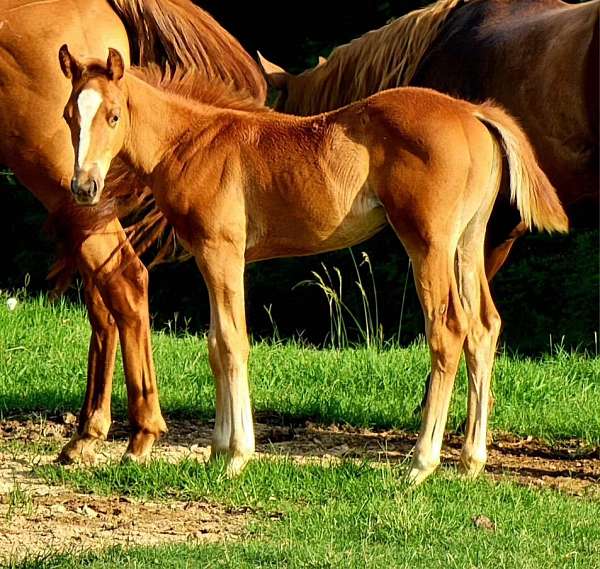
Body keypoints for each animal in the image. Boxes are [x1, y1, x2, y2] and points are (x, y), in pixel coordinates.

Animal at [0, 0, 264, 462]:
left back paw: (138, 431)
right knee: (102, 294)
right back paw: (90, 430)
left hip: (64, 180)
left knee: (124, 279)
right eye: (70, 115)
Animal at [57, 46, 568, 484]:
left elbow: (233, 343)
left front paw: (237, 456)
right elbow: (215, 344)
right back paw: (470, 461)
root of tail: (472, 112)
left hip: (429, 243)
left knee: (449, 329)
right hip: (468, 241)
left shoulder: (224, 252)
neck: (192, 143)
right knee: (484, 327)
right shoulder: (208, 256)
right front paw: (217, 450)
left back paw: (421, 463)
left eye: (113, 115)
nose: (83, 187)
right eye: (68, 116)